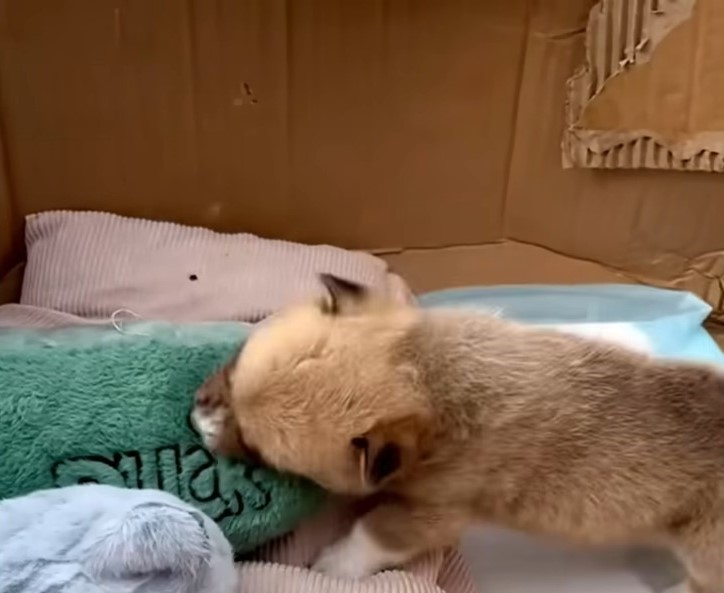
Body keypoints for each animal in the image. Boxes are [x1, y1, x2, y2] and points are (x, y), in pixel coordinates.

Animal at [194, 278, 724, 592]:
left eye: (258, 449)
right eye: (236, 364)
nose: (195, 418)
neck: (436, 381)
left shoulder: (436, 513)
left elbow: (375, 531)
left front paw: (335, 564)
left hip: (705, 555)